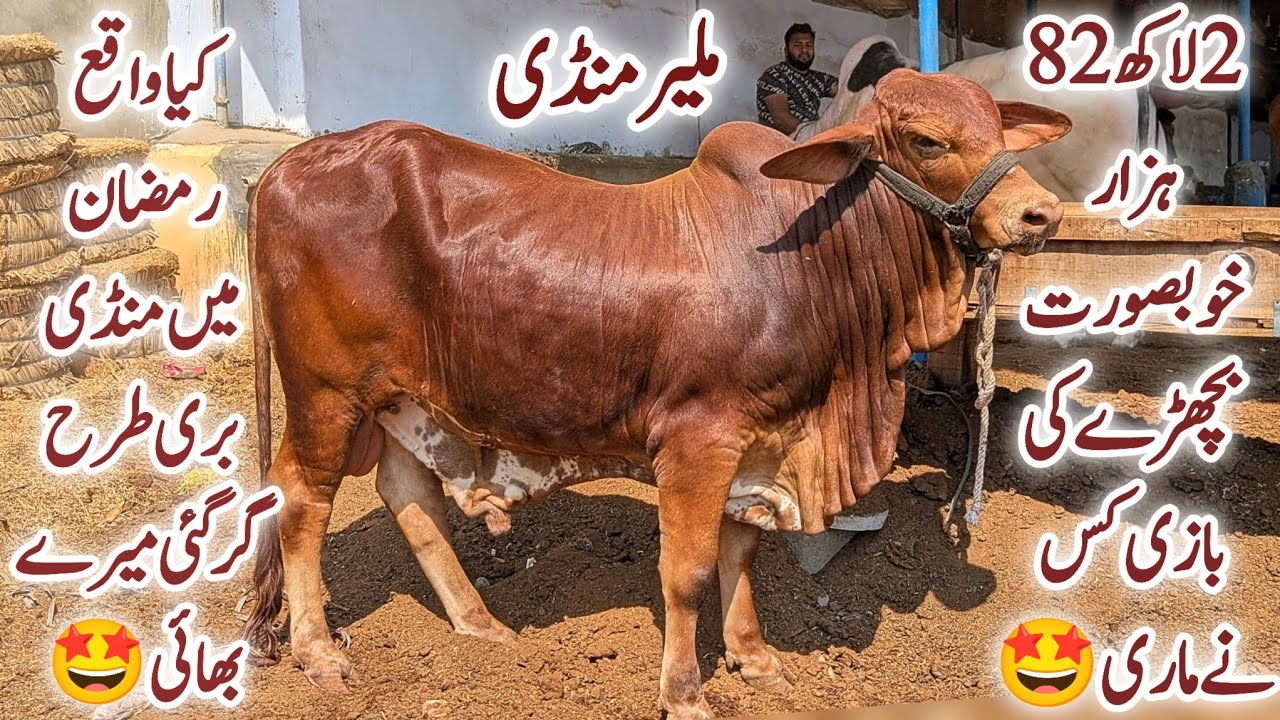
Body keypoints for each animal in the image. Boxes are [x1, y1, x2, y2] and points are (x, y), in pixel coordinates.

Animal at [242, 69, 1070, 719]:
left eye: (998, 127)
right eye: (928, 141)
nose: (1041, 214)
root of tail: (288, 164)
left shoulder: (761, 440)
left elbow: (742, 552)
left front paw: (754, 658)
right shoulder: (700, 438)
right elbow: (688, 572)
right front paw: (686, 692)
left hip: (404, 399)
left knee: (408, 494)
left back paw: (482, 629)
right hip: (327, 393)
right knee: (303, 498)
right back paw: (320, 656)